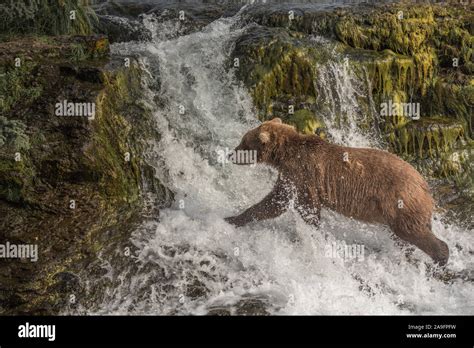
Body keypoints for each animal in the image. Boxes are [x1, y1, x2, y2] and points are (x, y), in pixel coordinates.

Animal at [225, 118, 448, 266]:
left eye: (244, 142)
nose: (230, 154)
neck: (284, 155)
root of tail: (424, 184)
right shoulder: (291, 177)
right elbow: (276, 202)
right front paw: (234, 218)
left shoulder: (303, 175)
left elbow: (299, 207)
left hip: (400, 201)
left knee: (411, 231)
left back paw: (441, 257)